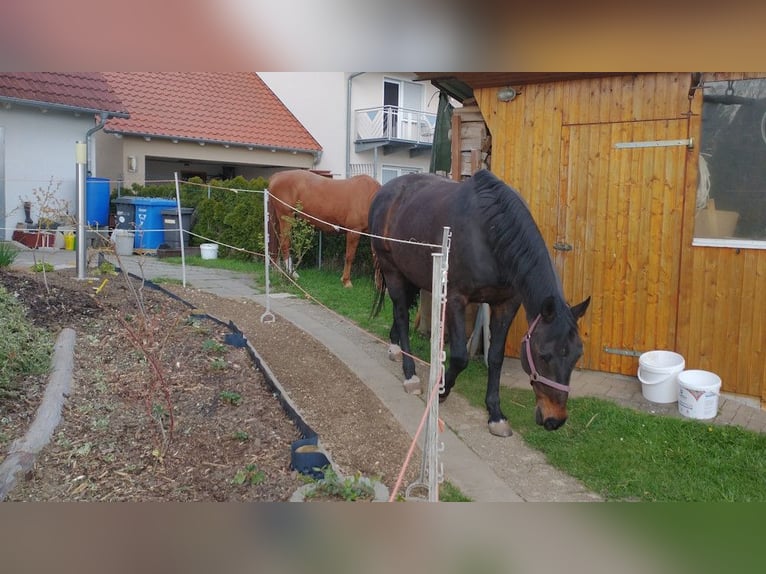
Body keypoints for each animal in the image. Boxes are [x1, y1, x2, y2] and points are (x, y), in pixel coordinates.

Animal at [368, 171, 592, 440]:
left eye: (577, 355)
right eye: (543, 355)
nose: (554, 420)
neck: (489, 233)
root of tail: (384, 191)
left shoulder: (507, 304)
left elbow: (495, 357)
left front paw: (495, 414)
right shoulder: (456, 299)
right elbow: (460, 357)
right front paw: (441, 392)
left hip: (410, 273)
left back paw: (394, 348)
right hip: (392, 270)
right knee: (402, 316)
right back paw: (410, 374)